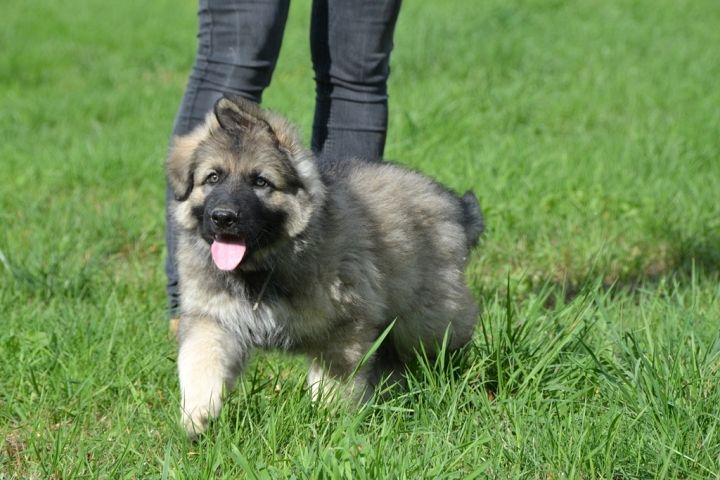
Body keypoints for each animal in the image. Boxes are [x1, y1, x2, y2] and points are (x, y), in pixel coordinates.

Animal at [166, 95, 484, 437]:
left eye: (261, 182)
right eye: (213, 178)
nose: (223, 217)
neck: (262, 270)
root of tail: (454, 204)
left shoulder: (343, 329)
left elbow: (334, 386)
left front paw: (330, 424)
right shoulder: (212, 318)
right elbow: (200, 361)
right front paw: (197, 415)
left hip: (425, 320)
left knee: (445, 339)